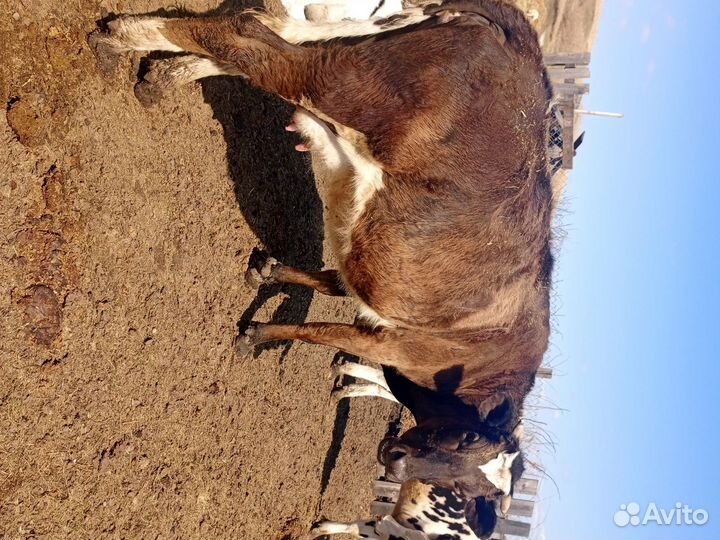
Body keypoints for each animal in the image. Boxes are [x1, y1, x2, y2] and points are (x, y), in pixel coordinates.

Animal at [88, 0, 554, 532]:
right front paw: (258, 336)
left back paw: (150, 64)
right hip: (346, 85)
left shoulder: (367, 286)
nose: (397, 462)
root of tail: (516, 36)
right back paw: (117, 41)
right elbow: (319, 331)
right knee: (251, 39)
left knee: (268, 29)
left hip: (356, 39)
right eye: (465, 442)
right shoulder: (386, 342)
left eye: (464, 488)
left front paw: (270, 274)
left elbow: (327, 285)